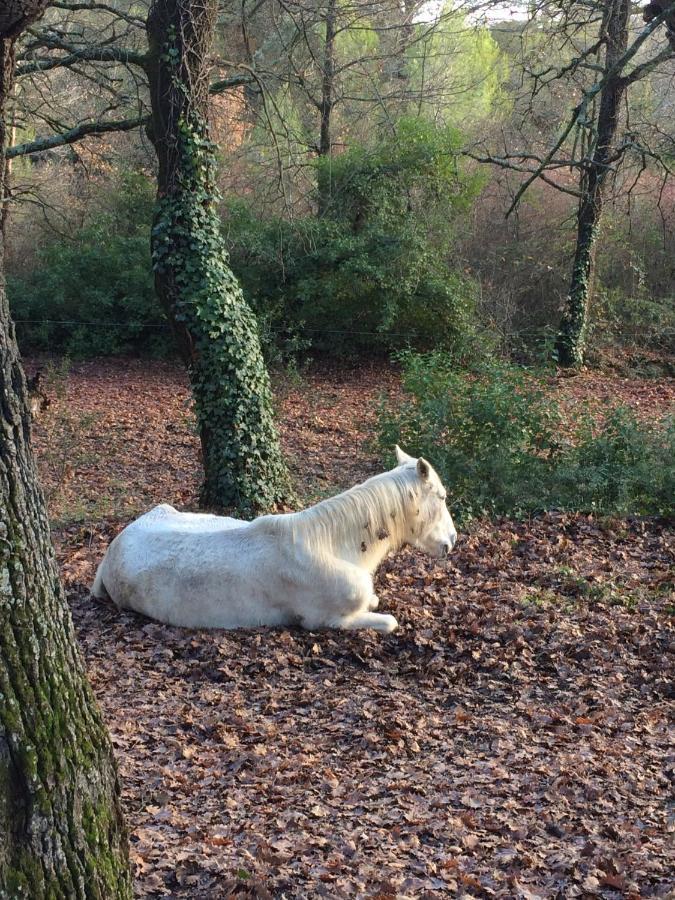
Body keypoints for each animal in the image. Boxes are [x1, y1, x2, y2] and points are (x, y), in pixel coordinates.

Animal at [91, 444, 460, 632]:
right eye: (441, 497)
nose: (453, 540)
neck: (332, 547)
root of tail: (113, 549)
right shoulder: (327, 621)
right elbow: (389, 621)